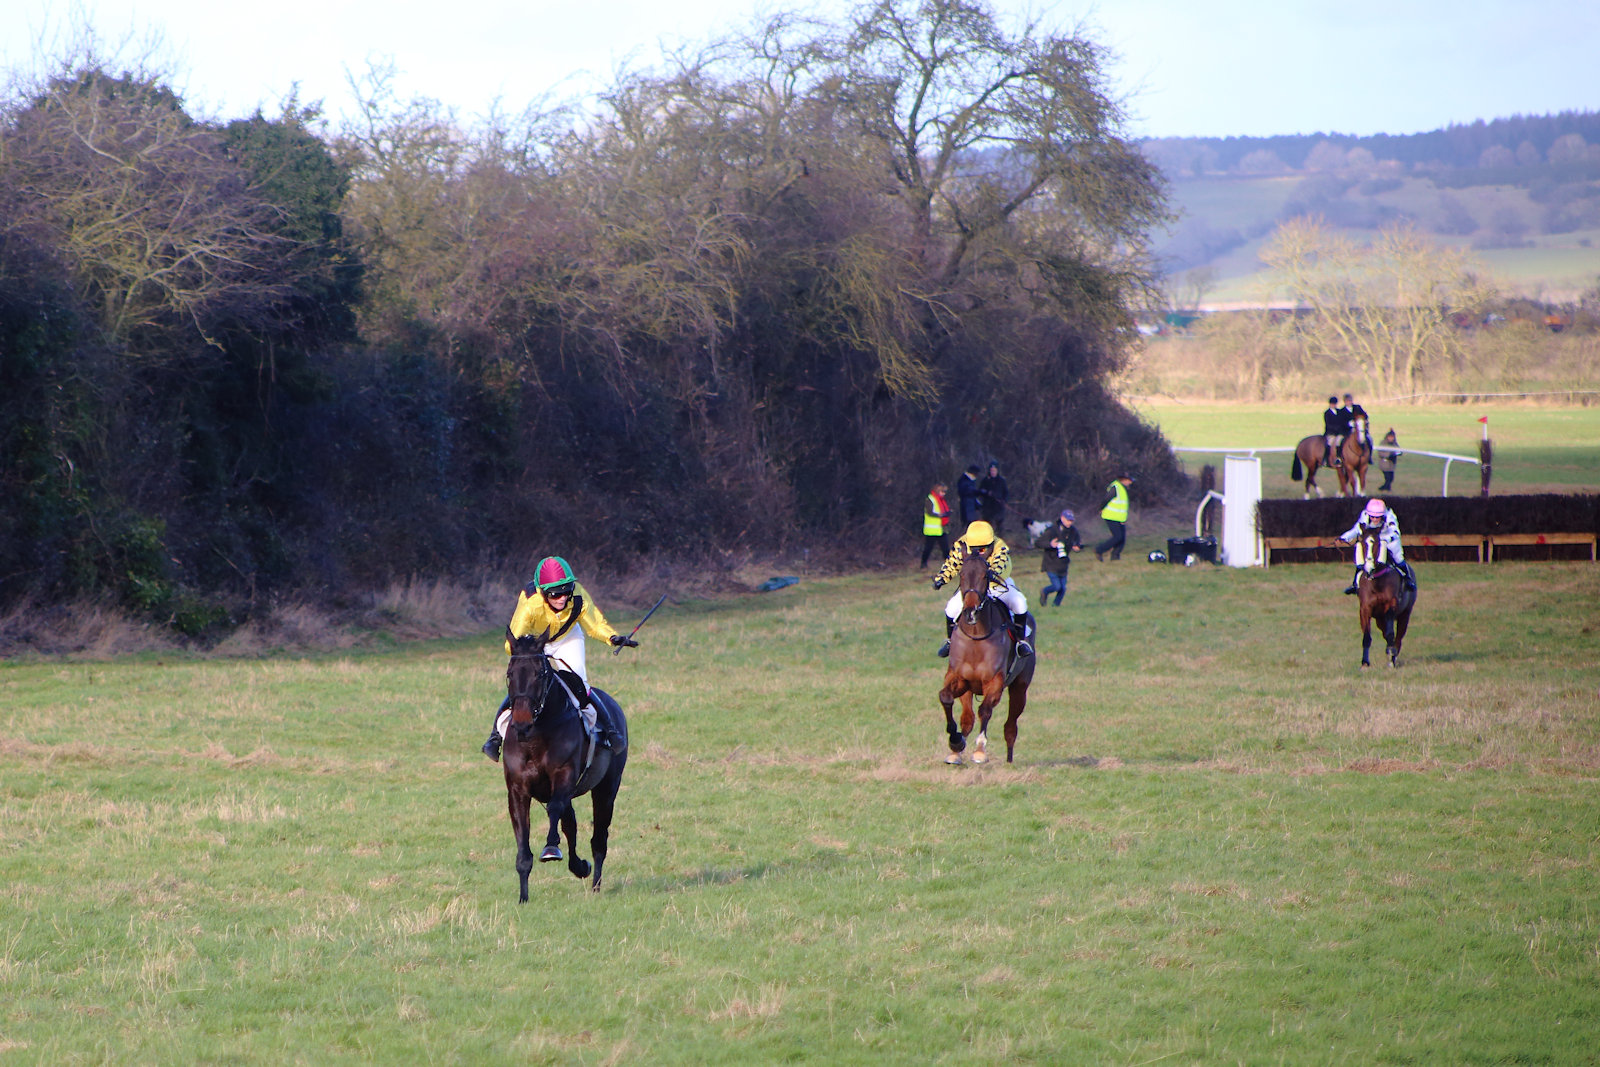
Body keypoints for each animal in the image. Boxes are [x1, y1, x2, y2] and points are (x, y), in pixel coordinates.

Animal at [499, 628, 628, 897]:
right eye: (510, 674)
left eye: (539, 673)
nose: (522, 723)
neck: (536, 736)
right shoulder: (517, 790)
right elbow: (524, 846)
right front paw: (523, 897)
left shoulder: (564, 777)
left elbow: (555, 809)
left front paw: (550, 848)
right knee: (571, 824)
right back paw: (579, 866)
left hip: (607, 788)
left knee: (599, 838)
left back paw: (595, 884)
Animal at [937, 547, 1035, 764]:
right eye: (962, 575)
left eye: (985, 575)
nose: (970, 612)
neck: (976, 638)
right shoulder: (959, 679)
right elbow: (946, 697)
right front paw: (955, 742)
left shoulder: (995, 682)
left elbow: (985, 710)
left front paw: (980, 750)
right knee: (967, 718)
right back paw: (957, 752)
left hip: (1020, 688)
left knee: (1010, 726)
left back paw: (1009, 760)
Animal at [1348, 527, 1417, 668]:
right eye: (1363, 543)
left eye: (1377, 544)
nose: (1369, 567)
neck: (1376, 582)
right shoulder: (1365, 609)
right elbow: (1367, 636)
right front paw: (1365, 663)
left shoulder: (1391, 606)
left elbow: (1391, 635)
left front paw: (1391, 658)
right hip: (1379, 619)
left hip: (1405, 614)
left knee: (1398, 636)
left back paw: (1393, 656)